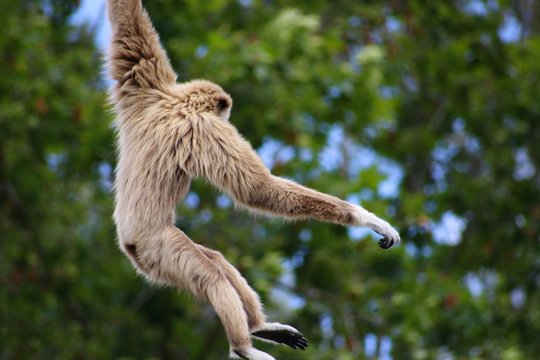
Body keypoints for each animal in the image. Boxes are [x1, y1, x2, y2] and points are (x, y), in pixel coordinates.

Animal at [106, 1, 400, 358]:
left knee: (217, 261)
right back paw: (244, 347)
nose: (228, 112)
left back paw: (261, 327)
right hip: (158, 248)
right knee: (212, 278)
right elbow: (257, 191)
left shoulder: (146, 84)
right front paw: (368, 218)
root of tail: (129, 245)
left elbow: (128, 24)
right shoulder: (206, 129)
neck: (178, 105)